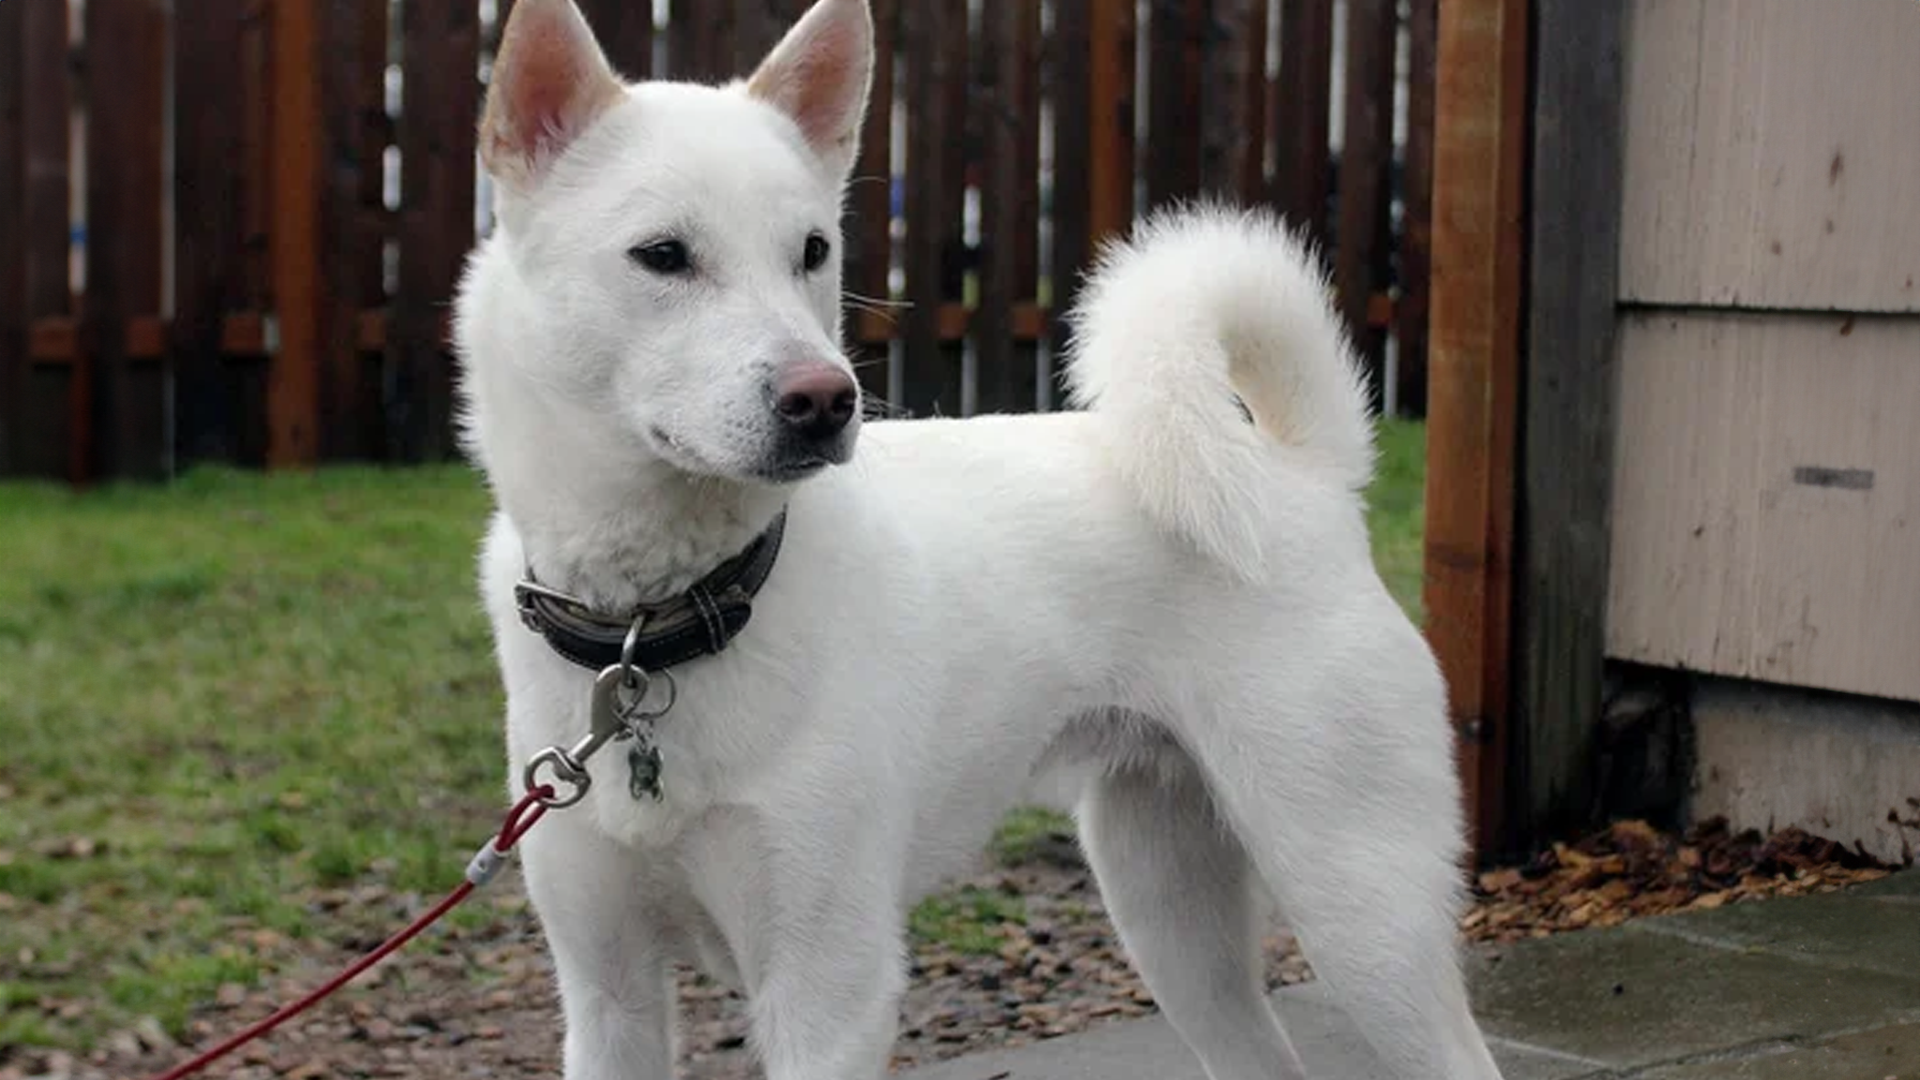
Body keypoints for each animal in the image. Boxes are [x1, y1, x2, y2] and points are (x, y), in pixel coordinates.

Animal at [456, 2, 1505, 1076]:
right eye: (662, 255)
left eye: (813, 251)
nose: (826, 401)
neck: (660, 626)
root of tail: (1301, 476)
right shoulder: (608, 998)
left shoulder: (828, 994)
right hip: (1170, 910)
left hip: (1359, 908)